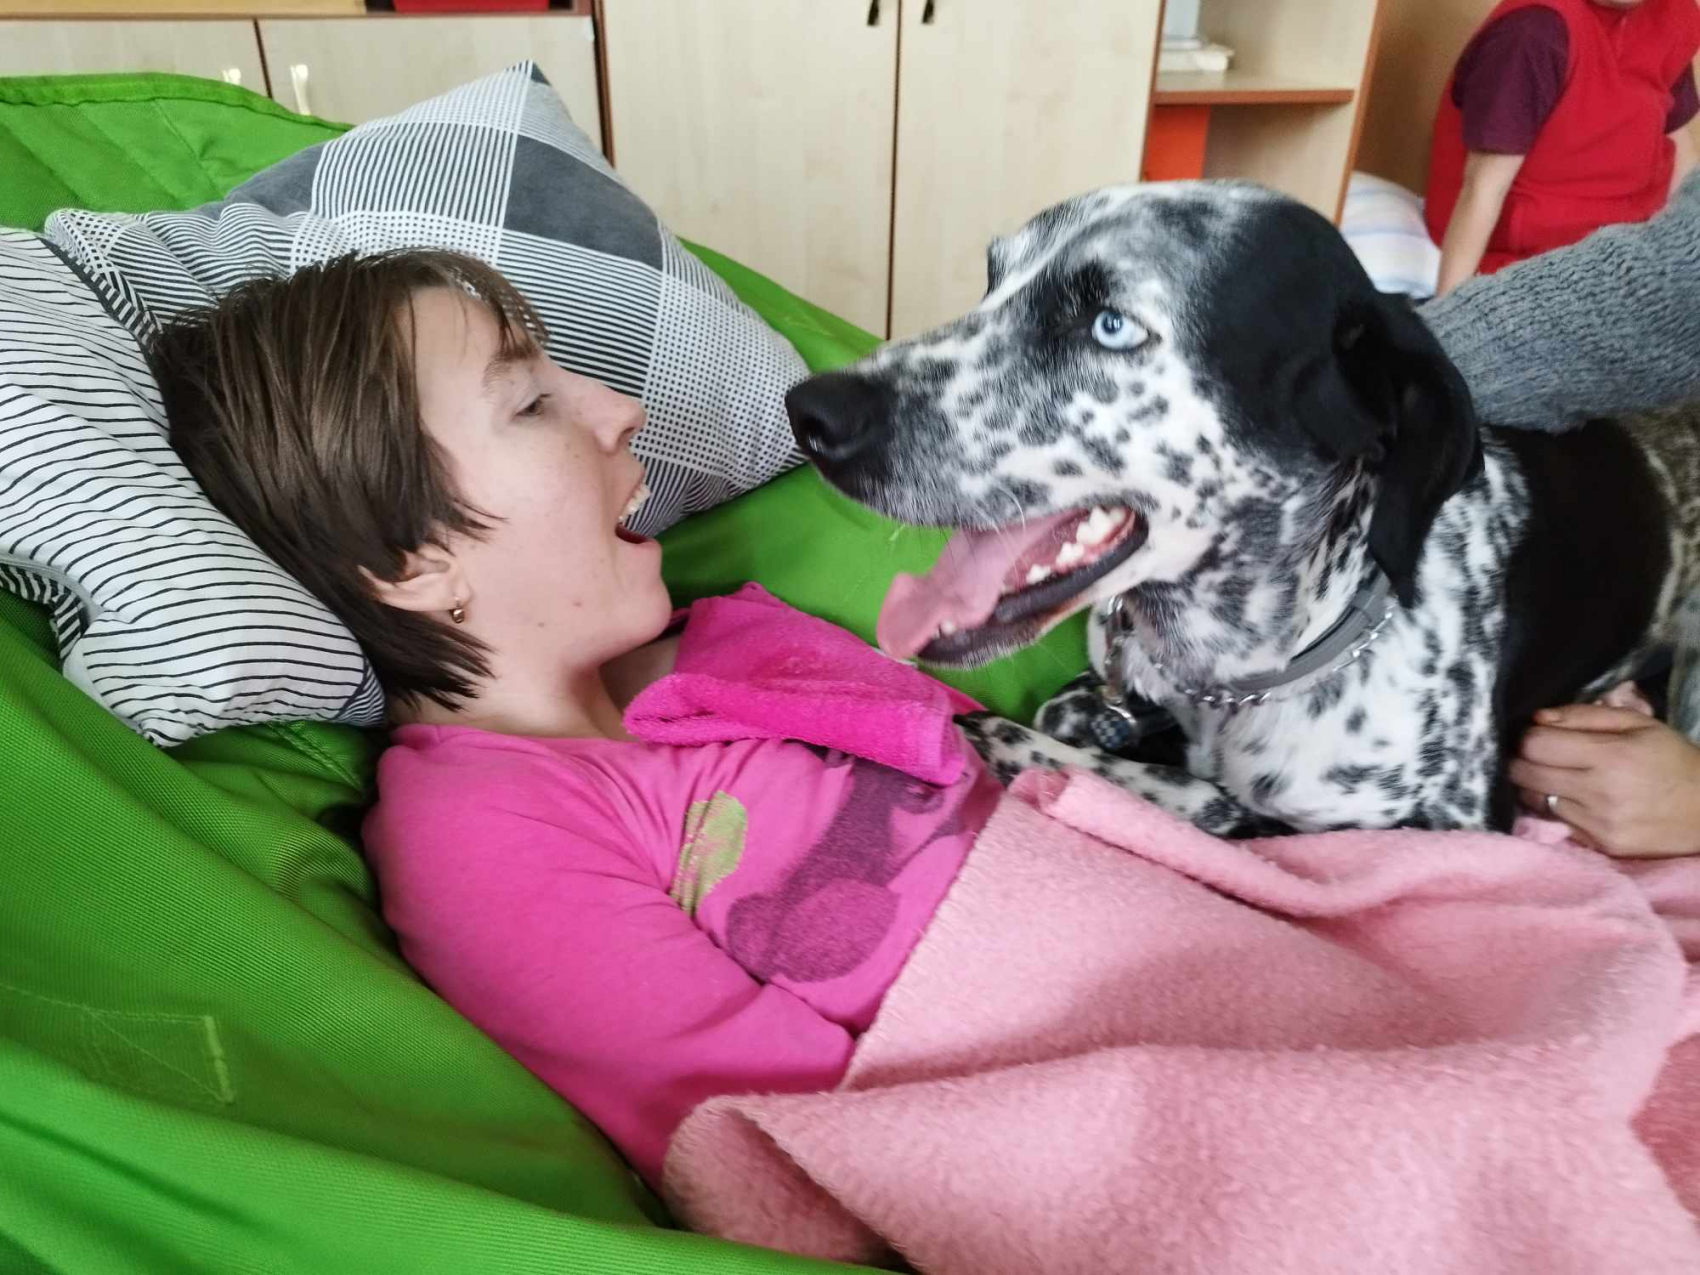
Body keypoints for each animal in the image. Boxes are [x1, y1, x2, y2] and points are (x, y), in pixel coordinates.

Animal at [785, 181, 1700, 836]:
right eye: (992, 279)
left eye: (1110, 325)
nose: (809, 412)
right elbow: (1069, 715)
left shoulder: (1447, 827)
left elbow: (1203, 798)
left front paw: (1003, 743)